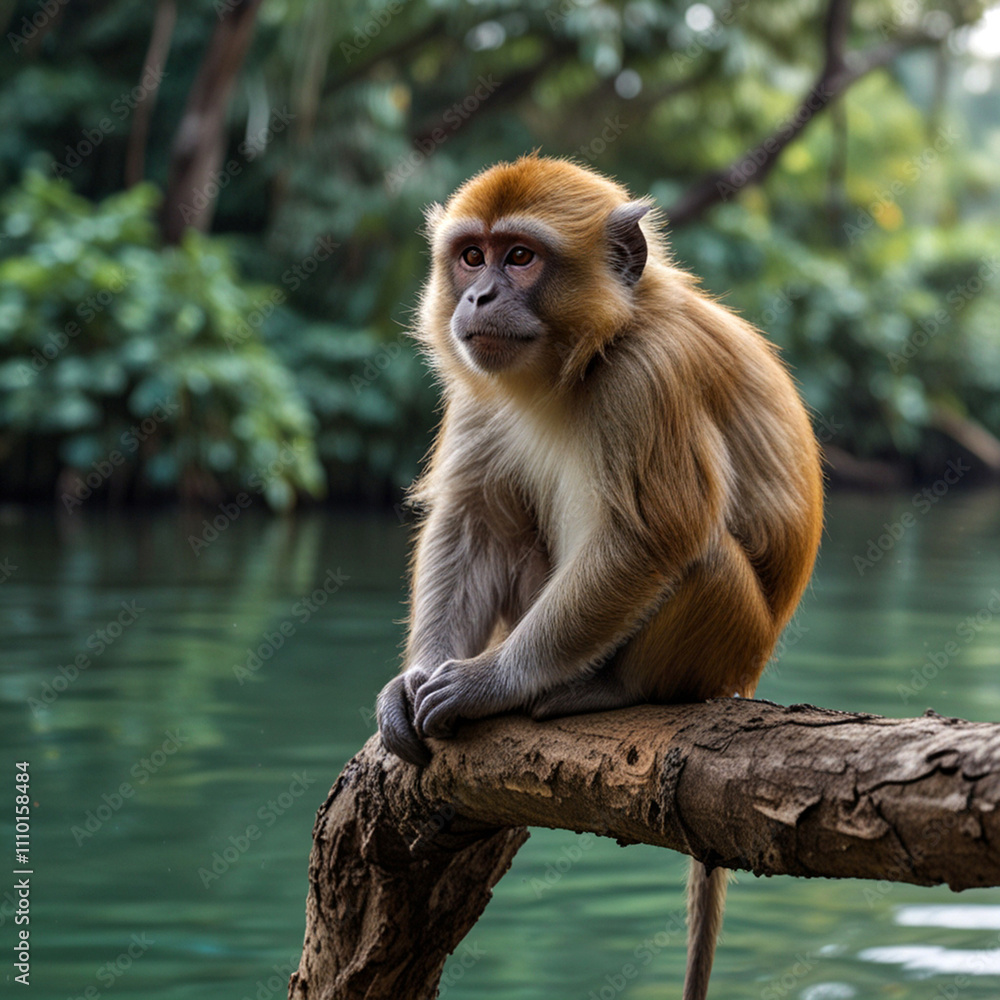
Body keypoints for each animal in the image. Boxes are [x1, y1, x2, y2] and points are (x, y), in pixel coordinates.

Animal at [375, 154, 823, 1000]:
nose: (479, 298)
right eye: (471, 257)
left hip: (725, 642)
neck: (594, 346)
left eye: (521, 258)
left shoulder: (648, 376)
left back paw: (607, 688)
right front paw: (412, 682)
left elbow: (653, 537)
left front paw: (489, 682)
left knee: (698, 550)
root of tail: (747, 673)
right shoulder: (481, 383)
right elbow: (475, 519)